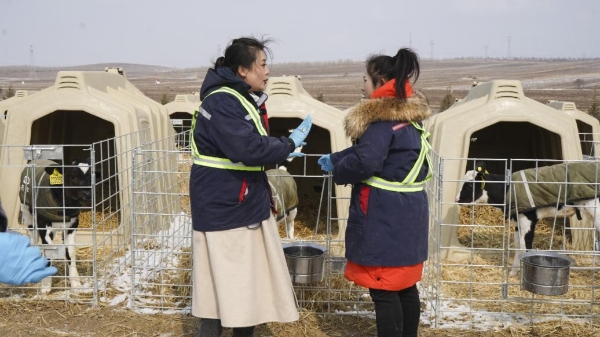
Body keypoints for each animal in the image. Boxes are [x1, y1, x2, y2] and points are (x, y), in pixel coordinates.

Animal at [19, 158, 95, 292]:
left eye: (91, 175)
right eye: (73, 176)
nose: (88, 194)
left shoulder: (73, 224)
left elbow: (70, 251)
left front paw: (75, 282)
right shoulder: (43, 224)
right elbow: (48, 249)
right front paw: (46, 285)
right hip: (28, 215)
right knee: (33, 240)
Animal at [454, 162, 600, 276]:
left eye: (469, 186)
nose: (457, 200)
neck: (507, 190)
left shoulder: (528, 220)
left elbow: (526, 247)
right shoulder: (518, 222)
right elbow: (518, 246)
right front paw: (513, 272)